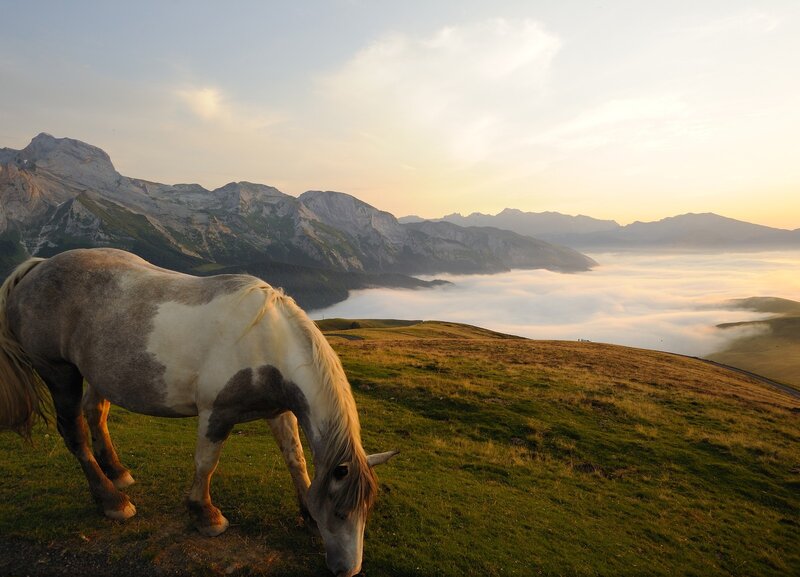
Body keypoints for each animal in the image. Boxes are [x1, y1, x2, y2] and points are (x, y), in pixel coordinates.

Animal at [0, 248, 397, 577]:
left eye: (366, 510)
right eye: (340, 512)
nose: (348, 570)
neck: (267, 341)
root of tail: (38, 267)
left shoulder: (278, 410)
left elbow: (295, 458)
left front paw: (305, 511)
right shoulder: (216, 413)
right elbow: (207, 463)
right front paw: (205, 514)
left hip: (100, 374)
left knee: (96, 413)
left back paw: (118, 472)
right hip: (58, 372)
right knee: (74, 432)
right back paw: (112, 501)